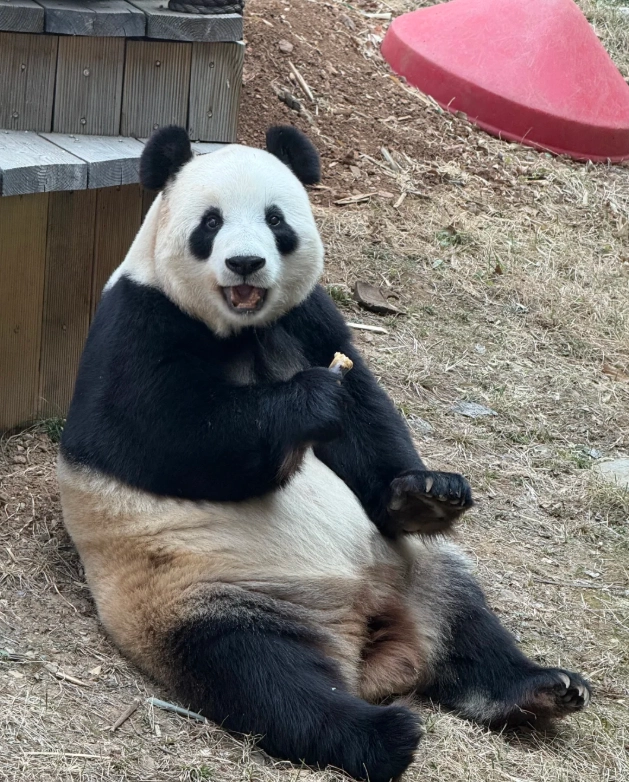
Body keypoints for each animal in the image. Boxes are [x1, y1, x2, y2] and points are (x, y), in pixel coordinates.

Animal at [58, 125, 591, 782]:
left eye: (276, 220)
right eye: (210, 222)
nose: (245, 262)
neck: (241, 326)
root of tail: (370, 636)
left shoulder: (305, 316)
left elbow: (366, 416)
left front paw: (427, 493)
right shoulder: (138, 321)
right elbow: (157, 435)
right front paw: (310, 401)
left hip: (414, 567)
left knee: (469, 621)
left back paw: (539, 688)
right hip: (206, 591)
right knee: (263, 674)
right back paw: (379, 736)